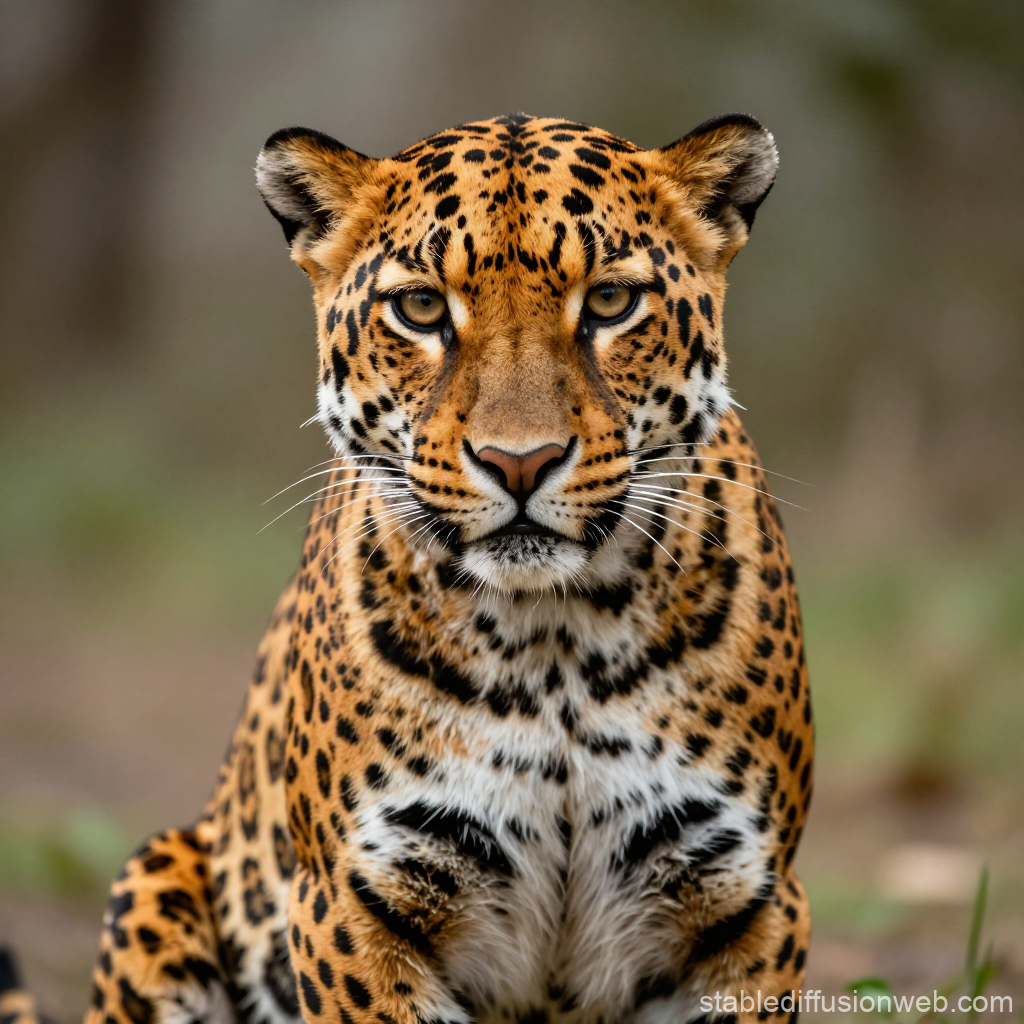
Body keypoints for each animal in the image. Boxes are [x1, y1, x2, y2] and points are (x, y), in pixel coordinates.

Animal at [1, 111, 813, 1024]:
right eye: (421, 308)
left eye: (611, 301)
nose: (520, 462)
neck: (554, 643)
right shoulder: (359, 900)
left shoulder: (750, 900)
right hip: (157, 873)